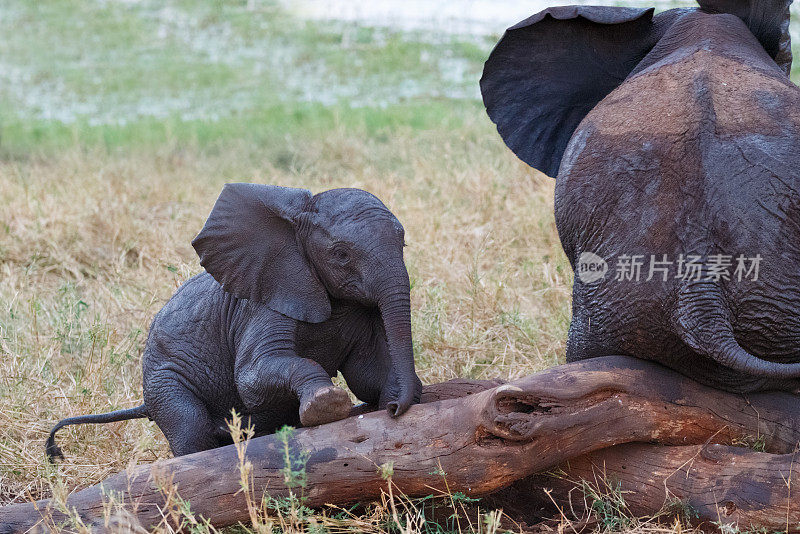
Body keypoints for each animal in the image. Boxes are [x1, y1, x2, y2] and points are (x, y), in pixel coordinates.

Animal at [48, 183, 424, 456]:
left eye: (404, 243)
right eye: (341, 255)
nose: (395, 410)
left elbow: (366, 373)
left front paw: (396, 395)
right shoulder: (262, 305)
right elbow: (251, 378)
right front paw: (326, 404)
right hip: (163, 381)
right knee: (191, 431)